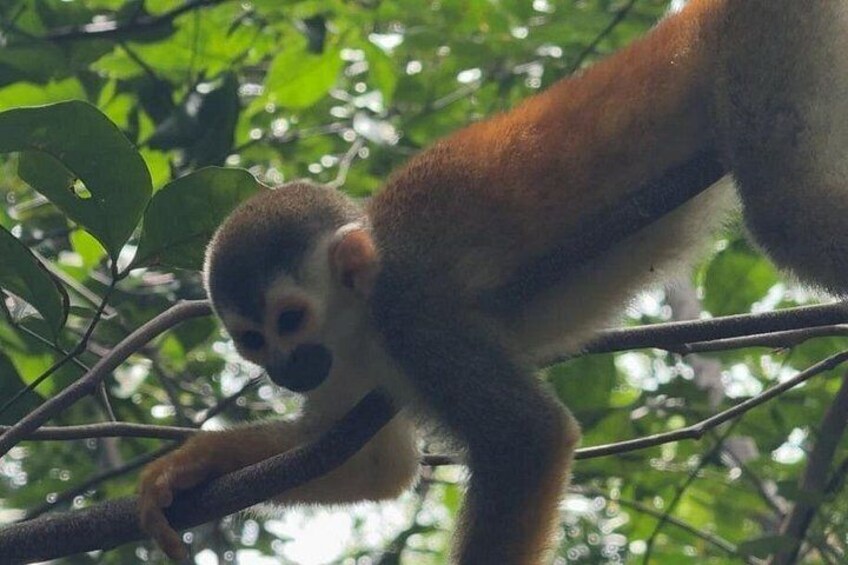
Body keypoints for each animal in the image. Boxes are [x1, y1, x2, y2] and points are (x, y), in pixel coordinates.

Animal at [138, 0, 848, 563]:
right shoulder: (356, 360)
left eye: (290, 319)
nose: (286, 369)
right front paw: (185, 469)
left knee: (786, 215)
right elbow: (375, 465)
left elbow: (526, 439)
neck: (361, 315)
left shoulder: (418, 314)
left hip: (762, 43)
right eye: (253, 341)